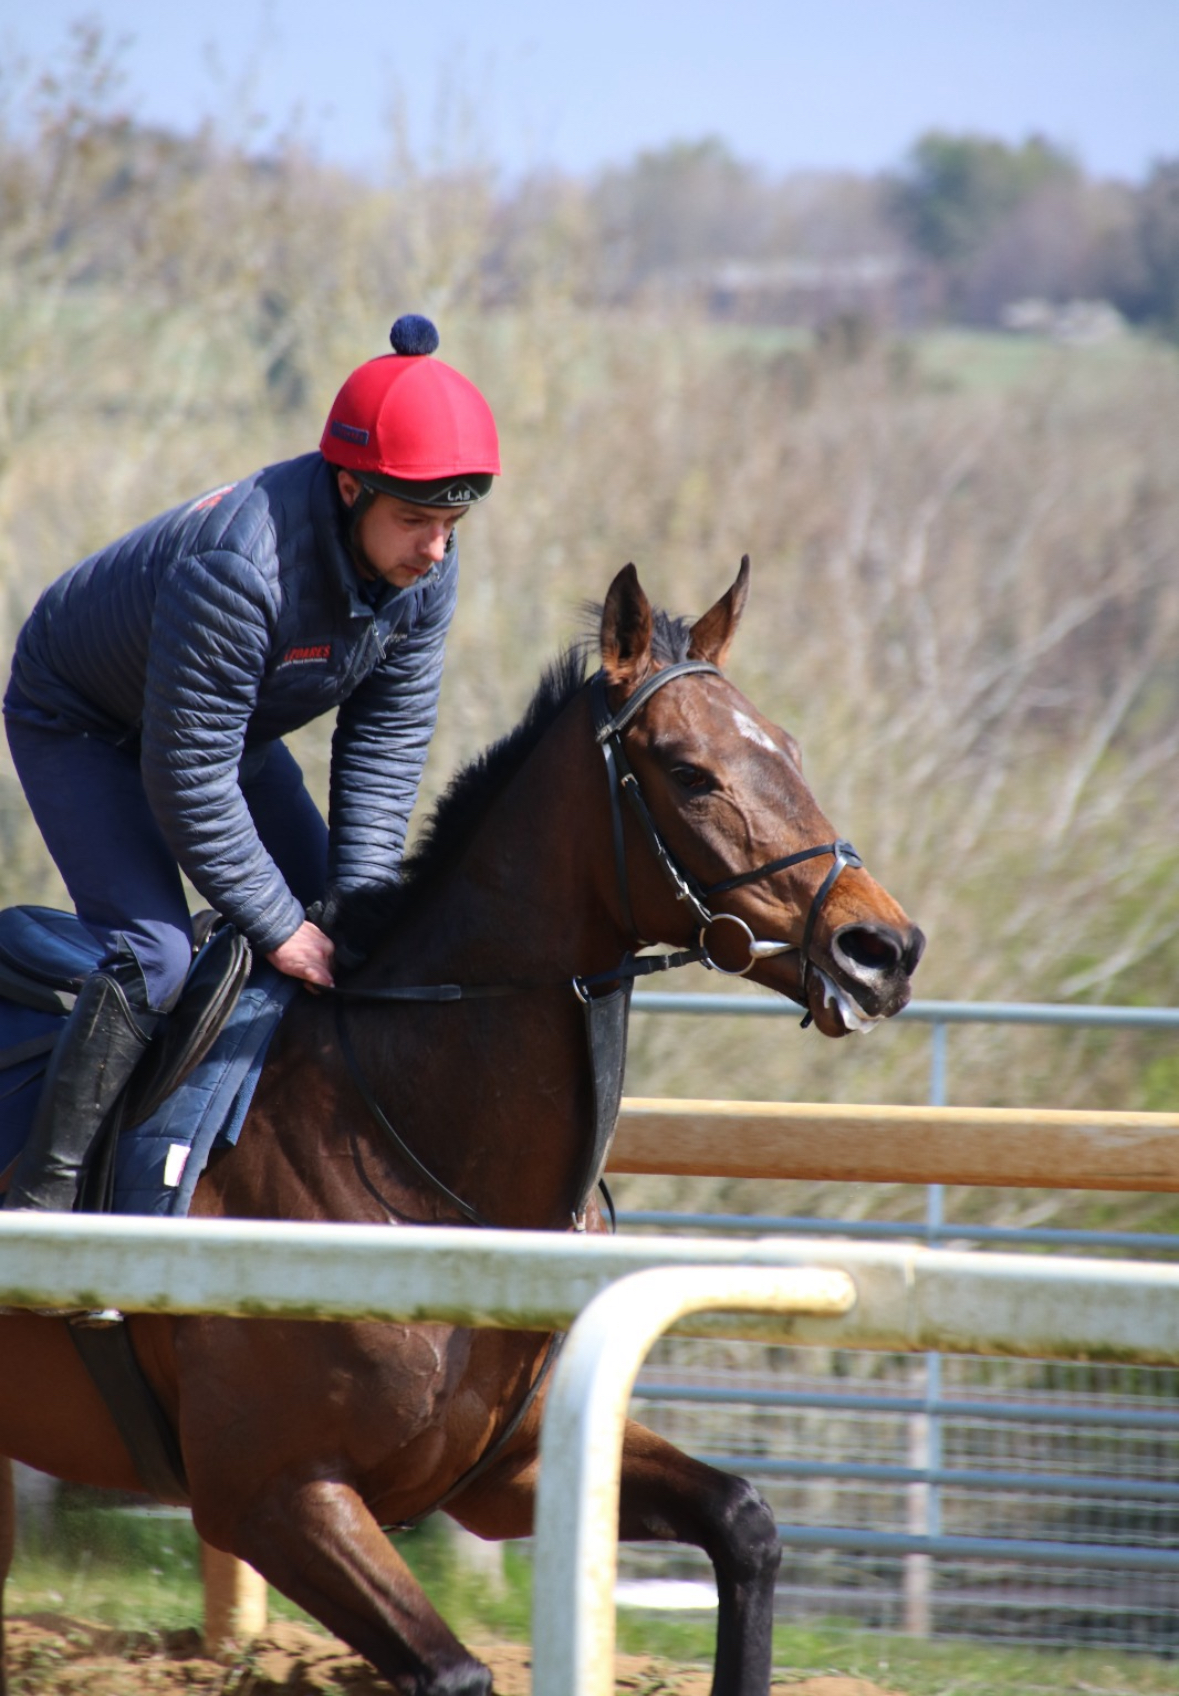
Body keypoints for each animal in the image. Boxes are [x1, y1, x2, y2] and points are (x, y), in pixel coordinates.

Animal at [0, 558, 923, 1696]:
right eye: (689, 771)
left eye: (787, 749)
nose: (882, 948)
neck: (423, 1151)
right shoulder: (272, 1495)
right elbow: (454, 1671)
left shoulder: (504, 1468)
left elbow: (744, 1520)